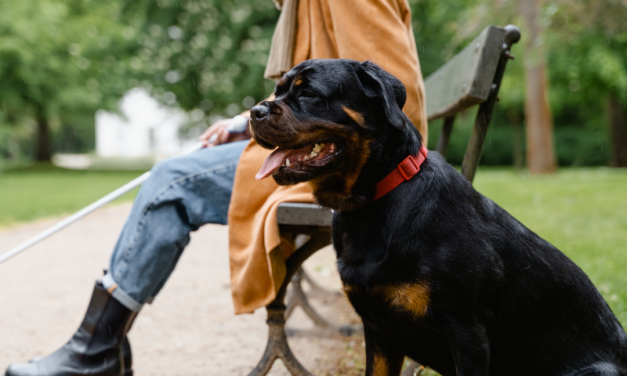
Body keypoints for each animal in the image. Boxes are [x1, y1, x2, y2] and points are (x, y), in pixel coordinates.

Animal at [250, 57, 627, 374]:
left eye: (309, 92)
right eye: (277, 91)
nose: (255, 111)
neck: (372, 204)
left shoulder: (467, 330)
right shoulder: (379, 330)